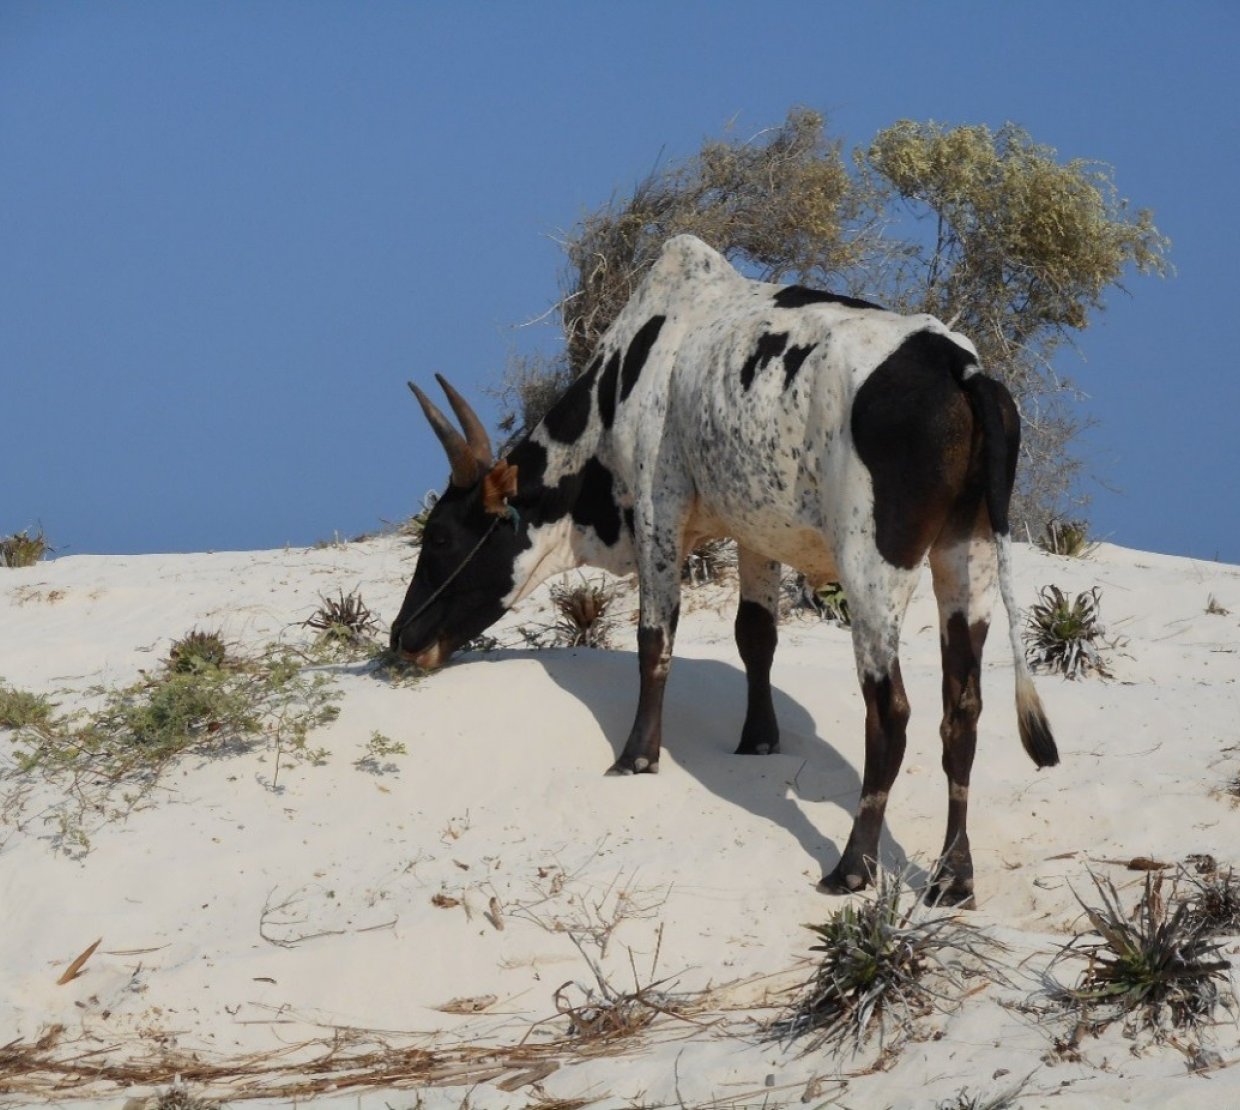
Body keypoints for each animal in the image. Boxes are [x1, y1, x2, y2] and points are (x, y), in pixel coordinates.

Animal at [390, 234, 1058, 906]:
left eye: (440, 535)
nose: (401, 637)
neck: (624, 377)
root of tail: (959, 366)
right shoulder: (756, 531)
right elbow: (755, 636)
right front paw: (757, 739)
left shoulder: (657, 513)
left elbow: (654, 640)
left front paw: (637, 756)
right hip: (966, 558)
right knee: (961, 713)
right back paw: (952, 874)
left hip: (872, 569)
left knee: (890, 713)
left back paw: (852, 865)